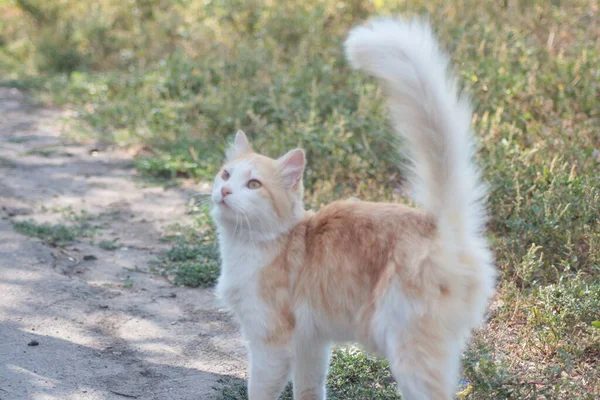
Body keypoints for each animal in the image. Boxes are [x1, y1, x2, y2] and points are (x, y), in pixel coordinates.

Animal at [211, 16, 496, 400]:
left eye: (253, 185)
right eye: (226, 174)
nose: (225, 190)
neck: (257, 244)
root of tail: (441, 227)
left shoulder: (271, 343)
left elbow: (259, 391)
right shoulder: (310, 344)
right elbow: (309, 390)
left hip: (410, 352)